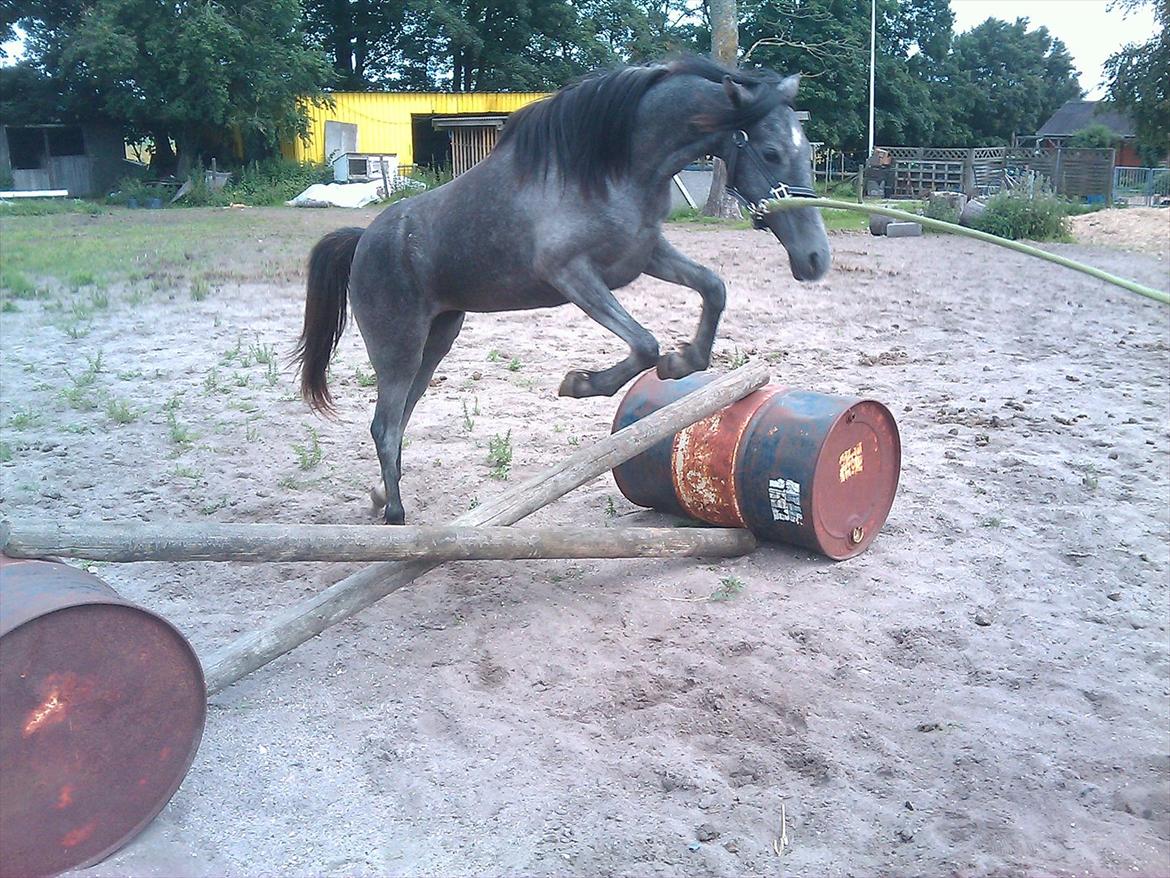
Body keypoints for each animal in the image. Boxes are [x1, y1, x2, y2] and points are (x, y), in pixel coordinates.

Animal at [294, 55, 831, 525]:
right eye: (770, 152)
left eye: (807, 153)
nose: (815, 260)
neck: (616, 166)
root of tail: (363, 240)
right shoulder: (573, 275)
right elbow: (644, 343)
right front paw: (580, 383)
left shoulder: (645, 256)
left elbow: (713, 289)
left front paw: (681, 363)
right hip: (399, 347)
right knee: (385, 426)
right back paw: (395, 515)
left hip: (435, 341)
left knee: (399, 420)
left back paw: (382, 495)